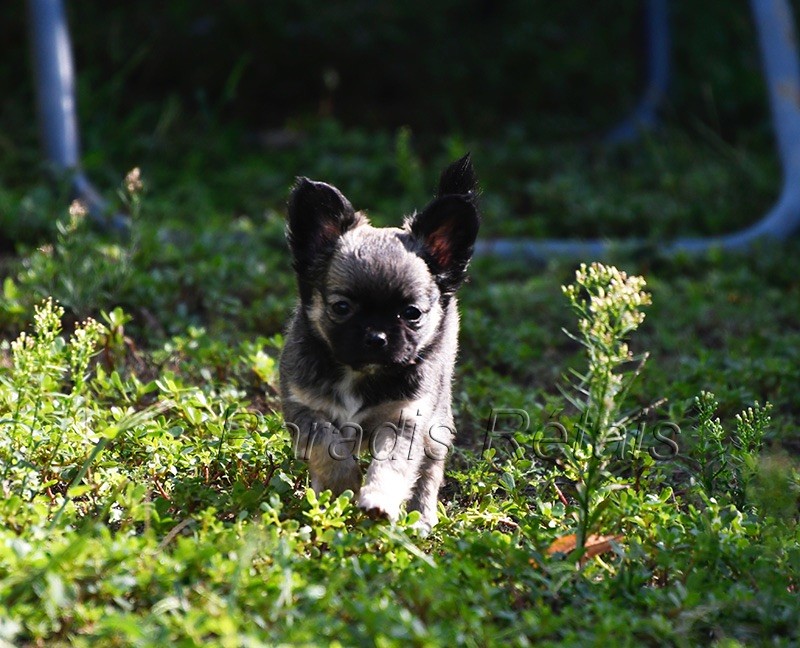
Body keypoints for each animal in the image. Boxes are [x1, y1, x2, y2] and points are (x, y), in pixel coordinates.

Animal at [280, 155, 479, 531]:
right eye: (341, 308)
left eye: (412, 313)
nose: (377, 337)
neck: (359, 374)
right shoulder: (306, 410)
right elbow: (327, 445)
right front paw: (342, 484)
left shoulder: (405, 421)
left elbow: (392, 464)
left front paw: (378, 500)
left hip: (437, 424)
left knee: (429, 473)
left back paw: (420, 517)